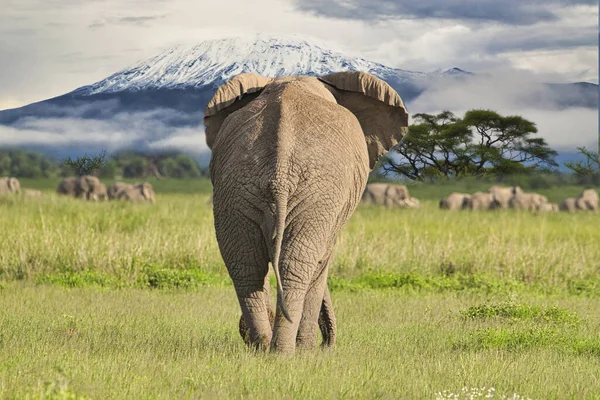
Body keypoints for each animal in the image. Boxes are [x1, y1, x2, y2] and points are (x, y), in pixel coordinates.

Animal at [204, 72, 410, 354]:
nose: (328, 344)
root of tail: (280, 175)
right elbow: (321, 262)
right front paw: (308, 351)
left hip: (235, 188)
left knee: (247, 266)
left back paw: (262, 347)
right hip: (315, 194)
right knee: (297, 265)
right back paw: (286, 353)